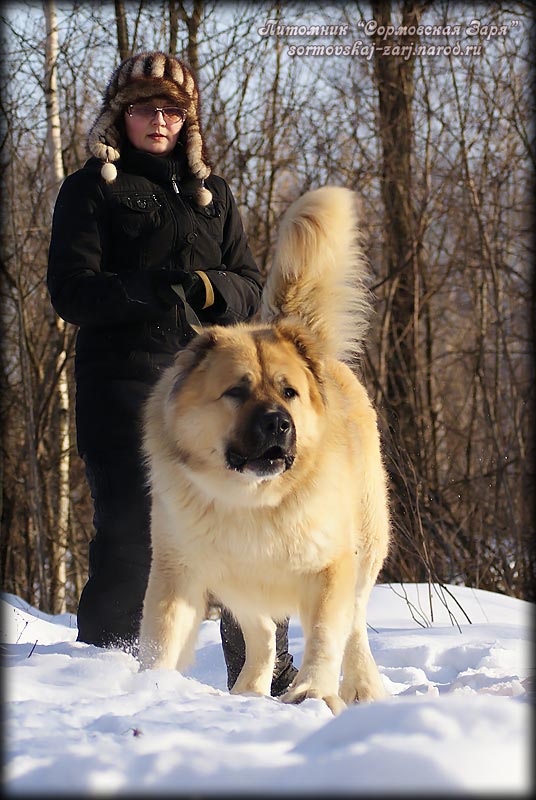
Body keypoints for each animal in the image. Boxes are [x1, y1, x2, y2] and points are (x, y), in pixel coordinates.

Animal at [139, 186, 390, 714]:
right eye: (237, 391)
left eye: (289, 392)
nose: (279, 422)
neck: (251, 501)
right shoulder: (180, 568)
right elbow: (164, 634)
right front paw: (147, 686)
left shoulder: (330, 568)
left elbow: (326, 635)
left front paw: (313, 692)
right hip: (241, 586)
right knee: (261, 637)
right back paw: (248, 692)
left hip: (366, 551)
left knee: (354, 628)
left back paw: (361, 688)